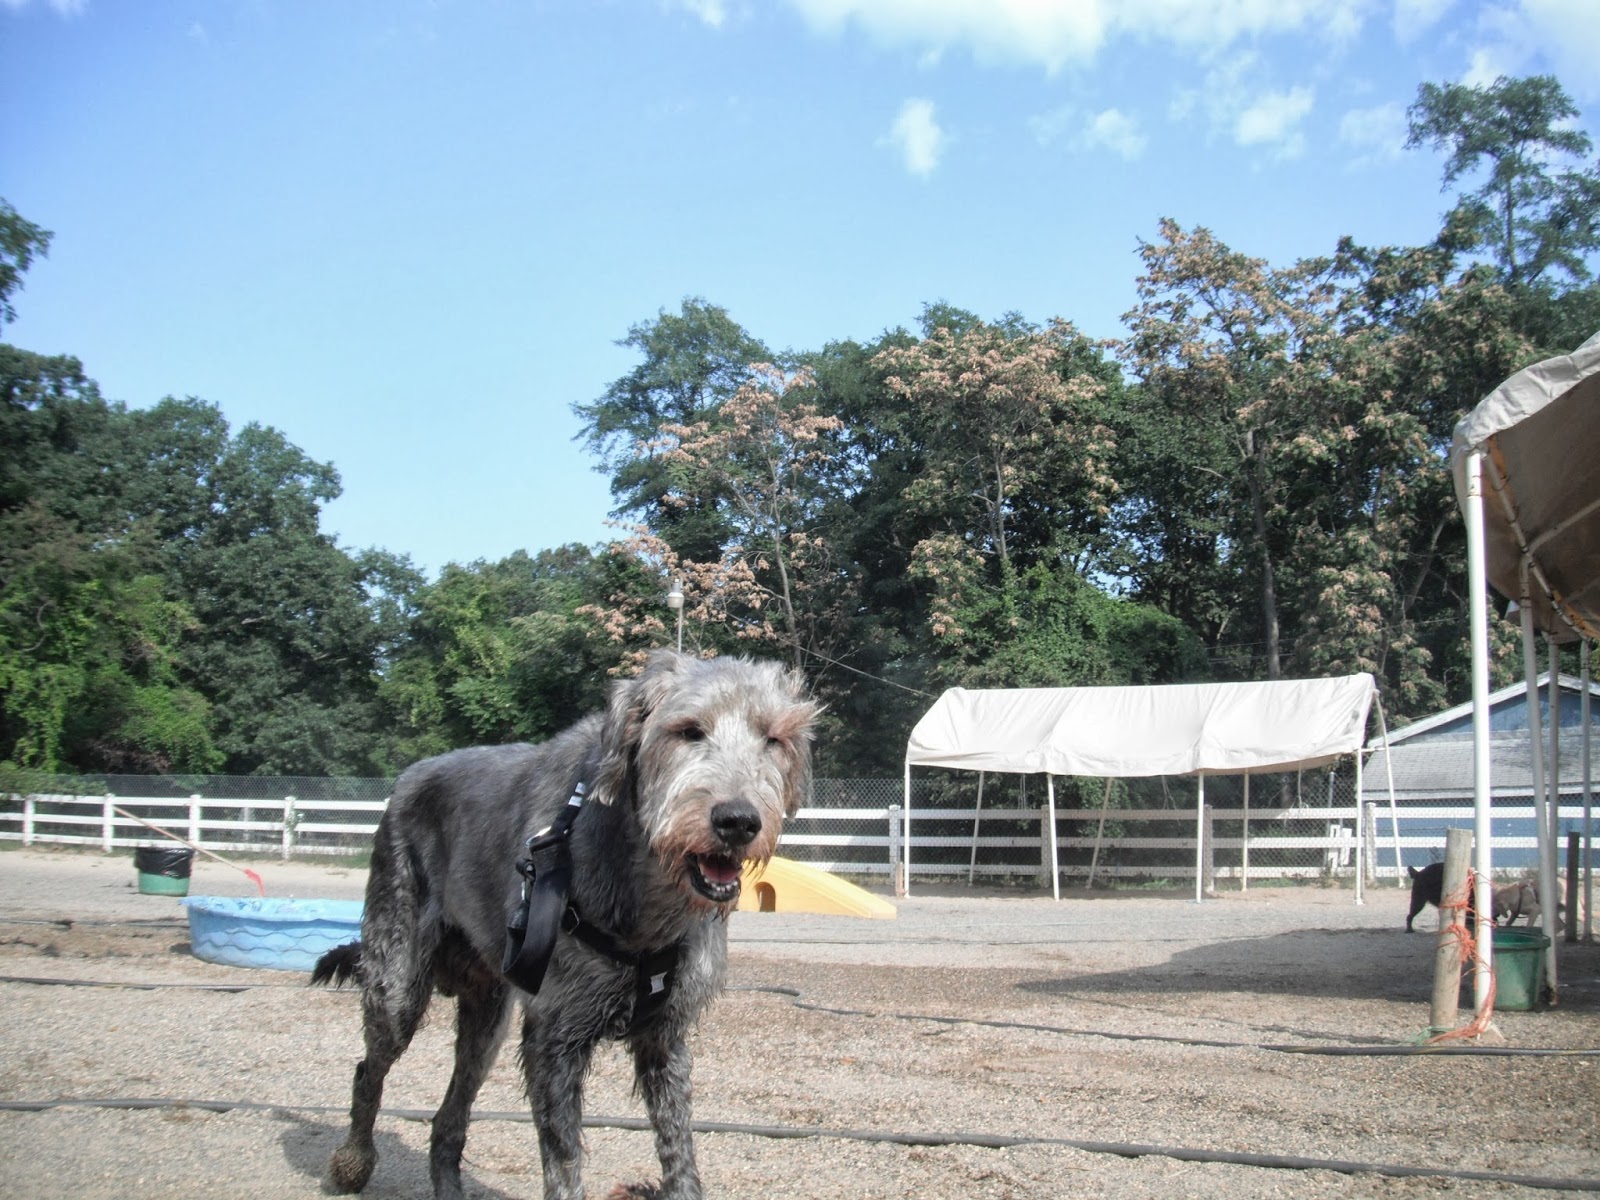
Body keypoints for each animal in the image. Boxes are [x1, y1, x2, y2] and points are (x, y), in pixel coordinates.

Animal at [307, 659, 819, 1200]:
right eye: (688, 730)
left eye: (773, 738)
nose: (738, 821)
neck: (645, 889)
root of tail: (408, 777)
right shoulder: (554, 1038)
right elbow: (564, 1162)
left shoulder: (664, 1038)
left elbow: (679, 1151)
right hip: (397, 985)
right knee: (369, 1071)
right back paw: (352, 1162)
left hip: (487, 1019)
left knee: (451, 1113)